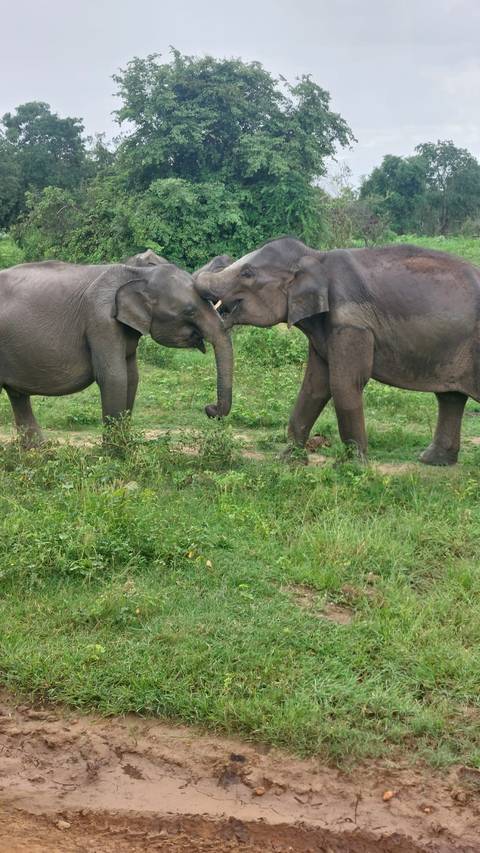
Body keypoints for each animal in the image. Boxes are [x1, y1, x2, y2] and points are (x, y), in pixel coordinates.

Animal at [0, 259, 233, 447]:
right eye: (189, 311)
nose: (210, 409)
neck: (138, 274)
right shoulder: (101, 321)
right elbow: (114, 377)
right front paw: (114, 453)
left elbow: (132, 377)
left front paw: (125, 446)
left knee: (17, 395)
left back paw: (38, 449)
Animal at [194, 237, 480, 465]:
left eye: (247, 273)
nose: (210, 409)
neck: (316, 257)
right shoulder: (323, 329)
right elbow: (314, 387)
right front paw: (287, 460)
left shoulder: (351, 324)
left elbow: (344, 383)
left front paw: (352, 467)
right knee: (450, 398)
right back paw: (432, 461)